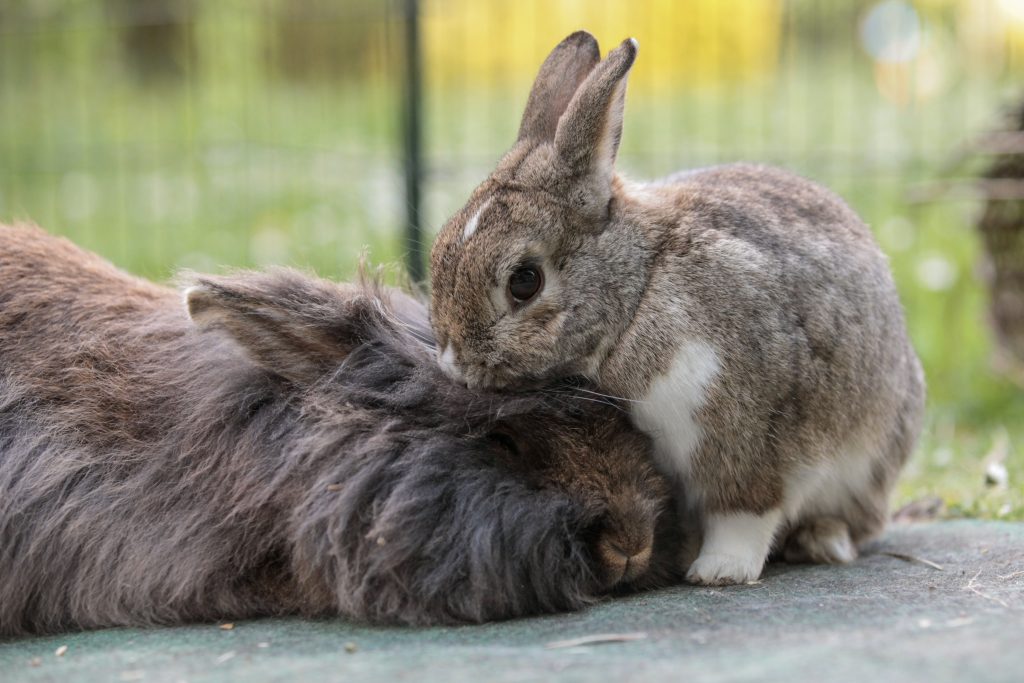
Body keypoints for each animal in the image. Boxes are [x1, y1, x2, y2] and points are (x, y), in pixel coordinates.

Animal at [428, 31, 926, 586]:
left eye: (524, 283)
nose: (454, 364)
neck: (639, 291)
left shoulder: (743, 436)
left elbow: (744, 512)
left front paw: (718, 571)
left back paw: (820, 540)